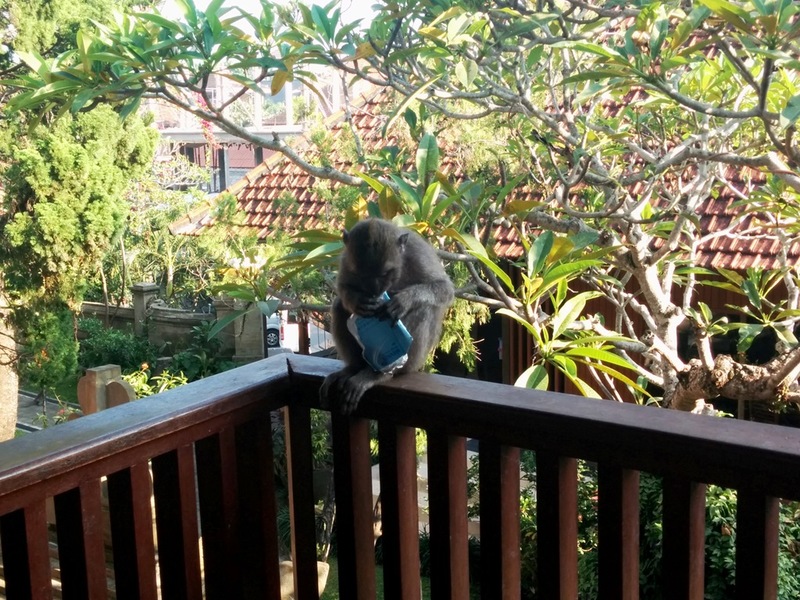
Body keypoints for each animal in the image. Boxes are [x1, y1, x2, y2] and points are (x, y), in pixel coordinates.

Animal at [320, 218, 455, 414]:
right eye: (362, 273)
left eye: (385, 273)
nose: (375, 290)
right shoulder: (346, 257)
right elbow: (344, 286)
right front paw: (357, 301)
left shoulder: (418, 254)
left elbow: (444, 289)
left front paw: (404, 300)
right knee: (339, 307)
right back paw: (353, 368)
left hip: (414, 361)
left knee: (424, 309)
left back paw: (381, 374)